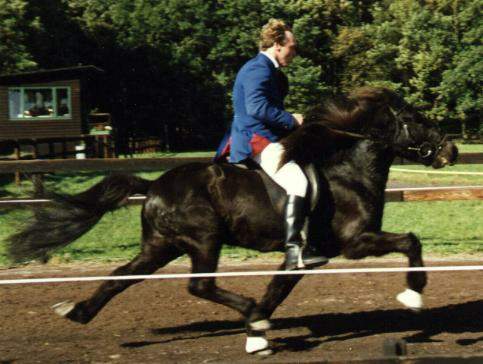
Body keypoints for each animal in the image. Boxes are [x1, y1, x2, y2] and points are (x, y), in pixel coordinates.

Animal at [6, 86, 458, 354]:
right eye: (416, 120)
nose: (450, 150)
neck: (347, 172)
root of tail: (153, 186)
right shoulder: (355, 241)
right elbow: (411, 241)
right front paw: (413, 295)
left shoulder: (306, 255)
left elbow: (278, 288)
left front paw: (257, 332)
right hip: (204, 240)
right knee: (199, 285)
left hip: (160, 246)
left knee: (122, 276)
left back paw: (77, 312)